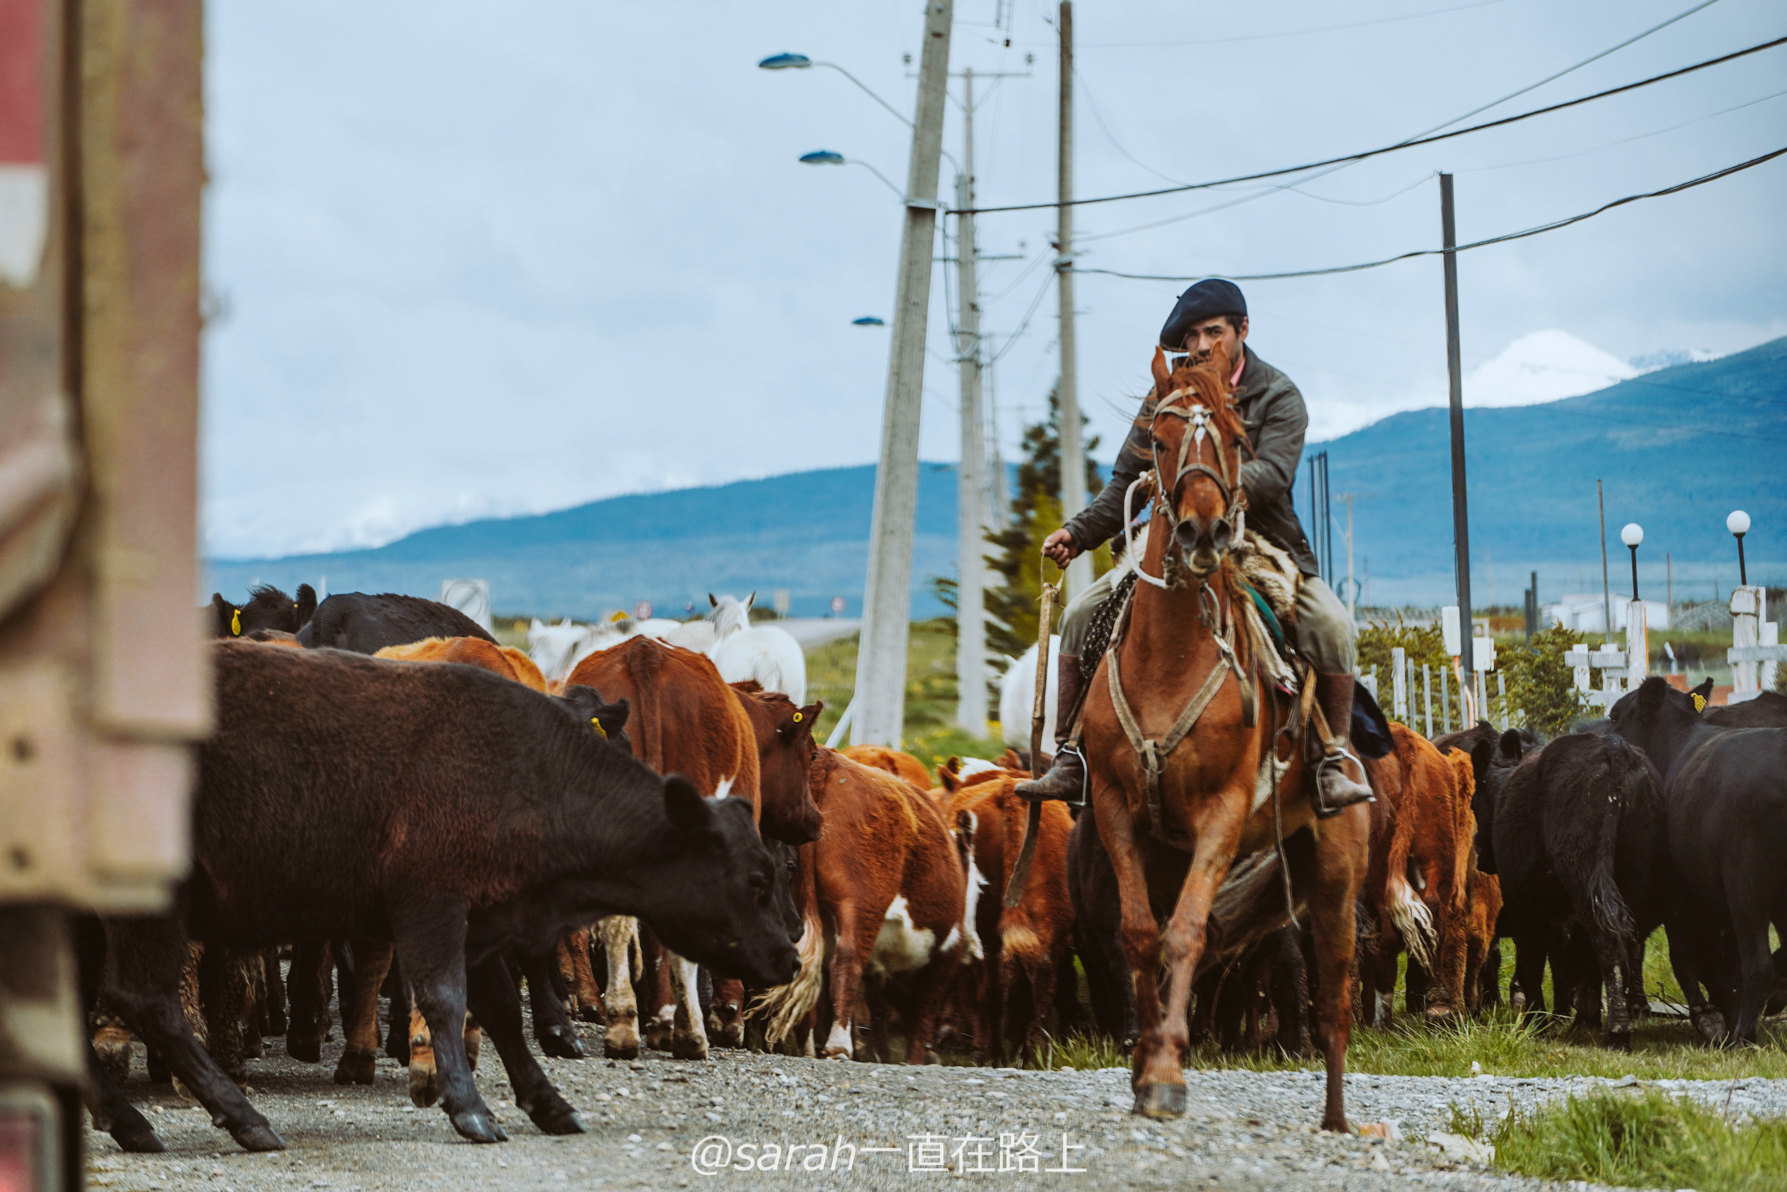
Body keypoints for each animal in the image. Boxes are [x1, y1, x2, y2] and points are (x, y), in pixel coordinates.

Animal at [83, 643, 797, 1158]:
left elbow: (503, 1012)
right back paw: (243, 1119)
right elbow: (447, 1000)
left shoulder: (483, 927)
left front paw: (549, 1105)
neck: (525, 771)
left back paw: (130, 1121)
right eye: (755, 880)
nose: (789, 958)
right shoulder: (433, 910)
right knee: (148, 1001)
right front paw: (470, 1108)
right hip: (151, 909)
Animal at [1072, 344, 1365, 1129]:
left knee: (1334, 999)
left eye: (1236, 439)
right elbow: (1141, 934)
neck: (1170, 659)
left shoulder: (1223, 817)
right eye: (1157, 438)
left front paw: (1168, 1071)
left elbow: (1186, 932)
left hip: (1334, 873)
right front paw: (1145, 1062)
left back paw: (1336, 1120)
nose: (1203, 533)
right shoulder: (1116, 811)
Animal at [1608, 679, 1787, 1043]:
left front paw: (1708, 1017)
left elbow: (1685, 954)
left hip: (1744, 886)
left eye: (1615, 716)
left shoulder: (1677, 888)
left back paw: (1742, 1035)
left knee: (1757, 962)